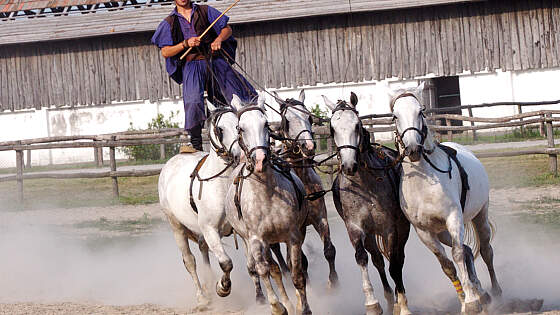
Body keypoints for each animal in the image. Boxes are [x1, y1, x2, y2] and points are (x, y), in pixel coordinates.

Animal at [225, 92, 312, 314]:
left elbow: (297, 273)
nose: (260, 160)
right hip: (256, 241)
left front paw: (304, 308)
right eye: (240, 128)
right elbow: (264, 271)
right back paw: (286, 303)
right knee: (273, 270)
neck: (267, 195)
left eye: (266, 124)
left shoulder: (293, 236)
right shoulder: (257, 240)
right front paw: (278, 306)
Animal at [322, 92, 414, 315]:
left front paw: (403, 306)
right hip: (371, 235)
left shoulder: (390, 229)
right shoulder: (355, 228)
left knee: (398, 259)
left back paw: (398, 299)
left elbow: (395, 265)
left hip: (401, 228)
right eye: (332, 129)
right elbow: (362, 258)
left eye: (356, 125)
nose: (349, 165)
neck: (365, 185)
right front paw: (372, 303)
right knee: (378, 261)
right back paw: (389, 298)